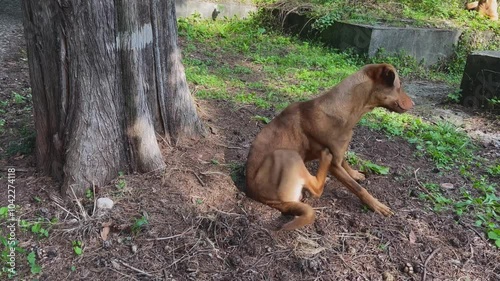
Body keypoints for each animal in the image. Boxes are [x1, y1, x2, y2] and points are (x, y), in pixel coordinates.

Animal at [246, 62, 414, 229]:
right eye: (399, 86)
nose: (413, 104)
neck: (345, 109)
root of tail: (270, 201)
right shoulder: (335, 165)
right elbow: (358, 188)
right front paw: (376, 204)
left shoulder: (340, 154)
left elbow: (346, 163)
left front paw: (354, 174)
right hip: (286, 154)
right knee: (316, 189)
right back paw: (324, 161)